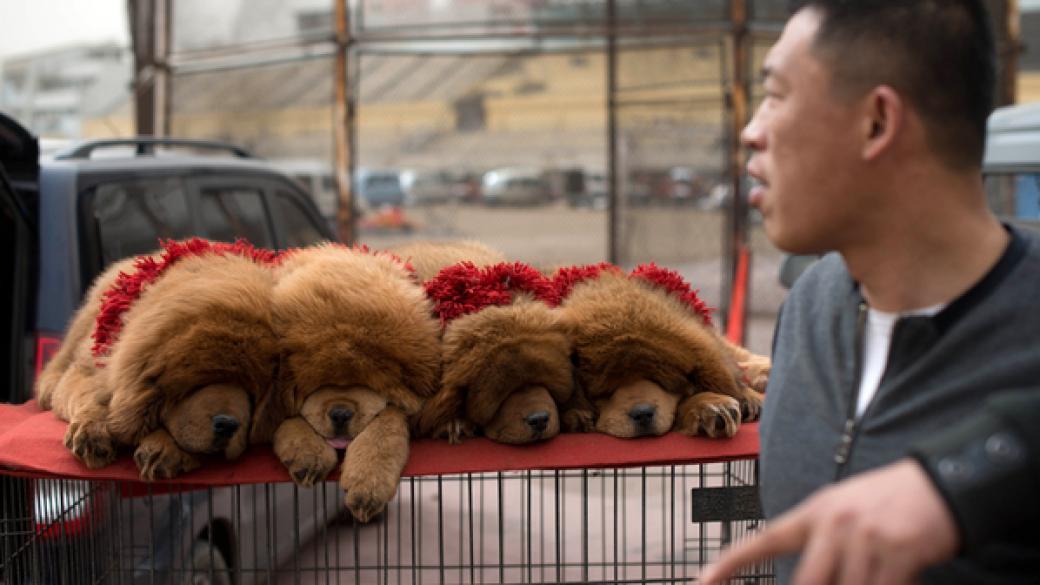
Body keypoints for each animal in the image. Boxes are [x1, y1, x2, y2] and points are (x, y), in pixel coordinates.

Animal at [37, 238, 282, 478]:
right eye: (199, 383)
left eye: (252, 394)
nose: (228, 425)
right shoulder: (92, 369)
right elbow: (92, 395)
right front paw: (92, 431)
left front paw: (164, 449)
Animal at [268, 242, 438, 518]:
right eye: (317, 386)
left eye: (367, 384)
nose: (340, 414)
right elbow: (291, 420)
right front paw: (308, 454)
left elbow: (384, 430)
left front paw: (367, 486)